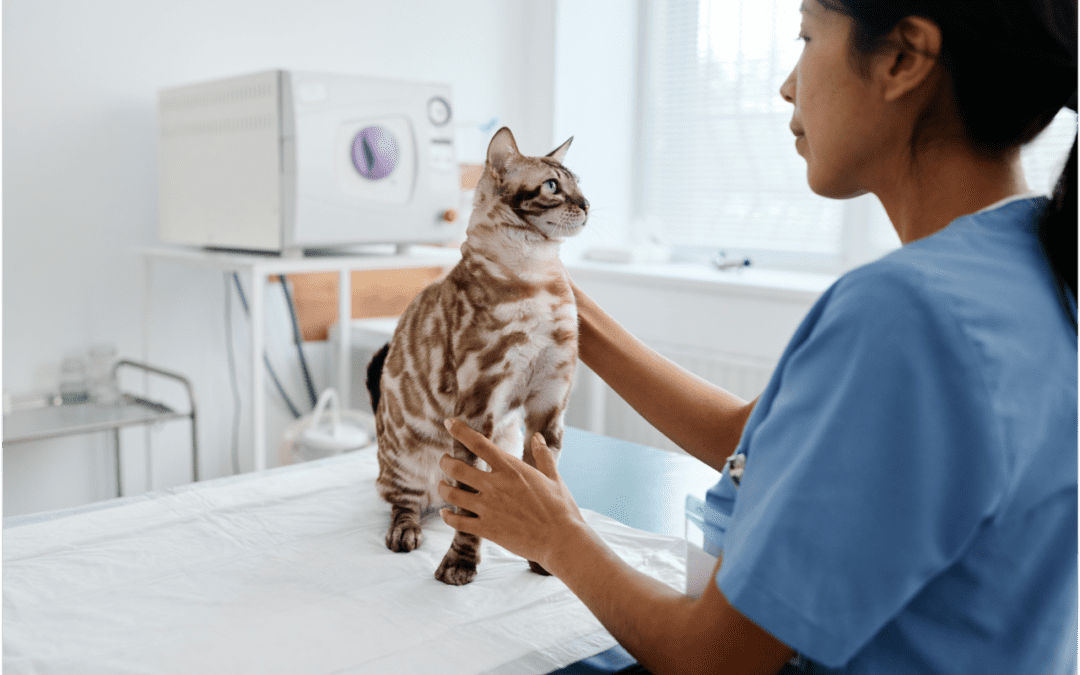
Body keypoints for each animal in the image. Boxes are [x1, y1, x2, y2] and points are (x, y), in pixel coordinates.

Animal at [365, 127, 587, 583]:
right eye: (552, 187)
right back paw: (406, 532)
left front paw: (542, 558)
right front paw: (460, 565)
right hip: (405, 459)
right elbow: (471, 509)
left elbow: (544, 485)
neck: (538, 275)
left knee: (454, 499)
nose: (588, 204)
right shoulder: (477, 407)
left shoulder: (548, 404)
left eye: (579, 183)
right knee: (405, 502)